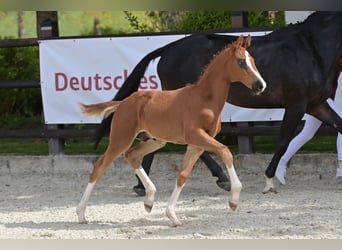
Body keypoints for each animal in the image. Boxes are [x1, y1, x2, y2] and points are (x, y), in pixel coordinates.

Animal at [76, 35, 266, 227]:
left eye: (253, 60)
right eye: (241, 62)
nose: (260, 85)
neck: (205, 99)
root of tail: (123, 103)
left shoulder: (197, 144)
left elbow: (183, 175)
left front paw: (172, 216)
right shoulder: (196, 135)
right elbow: (225, 151)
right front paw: (233, 200)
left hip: (155, 141)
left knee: (132, 156)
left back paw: (149, 200)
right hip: (121, 139)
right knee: (100, 166)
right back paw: (81, 214)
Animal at [95, 11, 342, 193]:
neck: (311, 50)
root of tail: (169, 49)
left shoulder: (316, 105)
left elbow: (339, 126)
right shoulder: (296, 105)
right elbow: (282, 143)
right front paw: (269, 181)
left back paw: (141, 185)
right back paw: (221, 177)